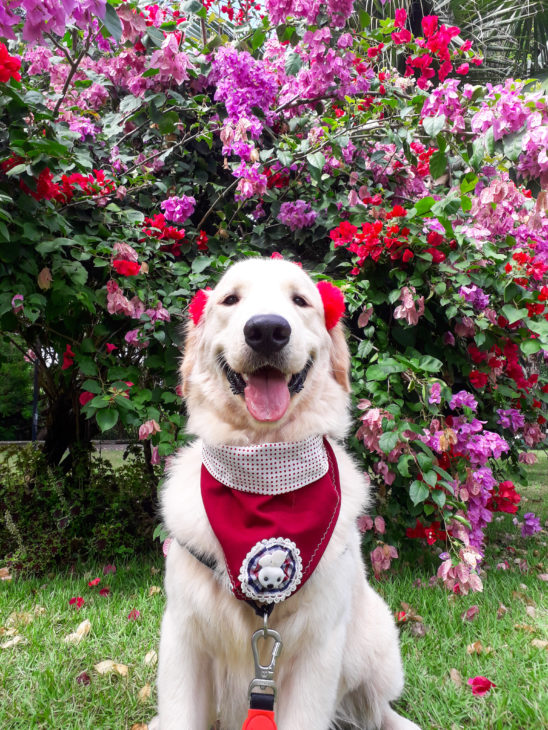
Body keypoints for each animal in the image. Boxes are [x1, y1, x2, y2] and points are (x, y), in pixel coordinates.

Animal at [156, 258, 422, 728]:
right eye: (231, 299)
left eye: (300, 300)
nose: (266, 330)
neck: (267, 476)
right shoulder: (183, 637)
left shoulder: (318, 650)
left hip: (376, 643)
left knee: (377, 708)